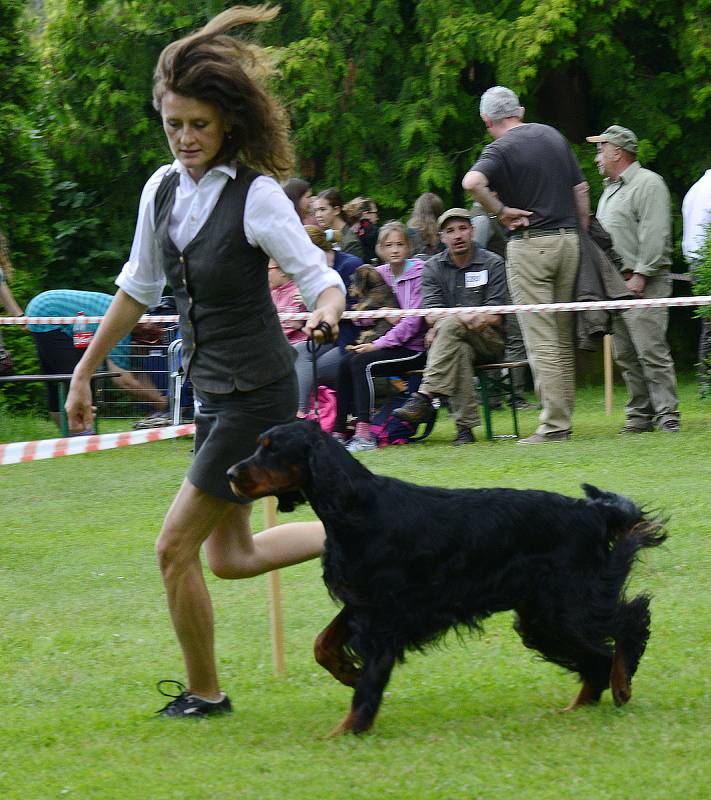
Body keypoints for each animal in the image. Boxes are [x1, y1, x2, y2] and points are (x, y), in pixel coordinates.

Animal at [229, 422, 668, 736]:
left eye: (271, 448)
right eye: (259, 445)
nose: (231, 473)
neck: (355, 509)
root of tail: (591, 511)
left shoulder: (382, 616)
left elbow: (368, 686)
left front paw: (346, 731)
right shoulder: (362, 603)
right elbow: (322, 645)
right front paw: (347, 671)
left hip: (566, 603)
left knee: (630, 621)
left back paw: (621, 685)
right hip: (542, 616)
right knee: (597, 656)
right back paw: (578, 707)